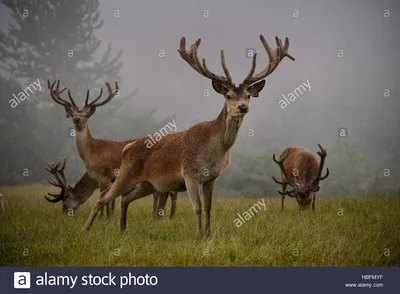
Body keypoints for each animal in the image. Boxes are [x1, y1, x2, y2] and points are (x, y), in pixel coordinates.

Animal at [45, 80, 177, 218]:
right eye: (73, 114)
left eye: (86, 115)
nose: (77, 119)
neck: (92, 152)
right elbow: (111, 198)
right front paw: (110, 216)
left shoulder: (105, 175)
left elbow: (104, 197)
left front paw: (104, 217)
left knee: (169, 192)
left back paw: (166, 216)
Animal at [84, 34, 296, 237]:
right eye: (228, 96)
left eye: (248, 95)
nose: (243, 107)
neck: (216, 149)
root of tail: (127, 148)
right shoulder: (189, 173)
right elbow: (198, 207)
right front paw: (199, 235)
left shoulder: (211, 178)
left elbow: (209, 207)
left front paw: (208, 234)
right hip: (126, 173)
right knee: (103, 198)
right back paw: (86, 229)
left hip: (148, 184)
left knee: (125, 198)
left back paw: (122, 230)